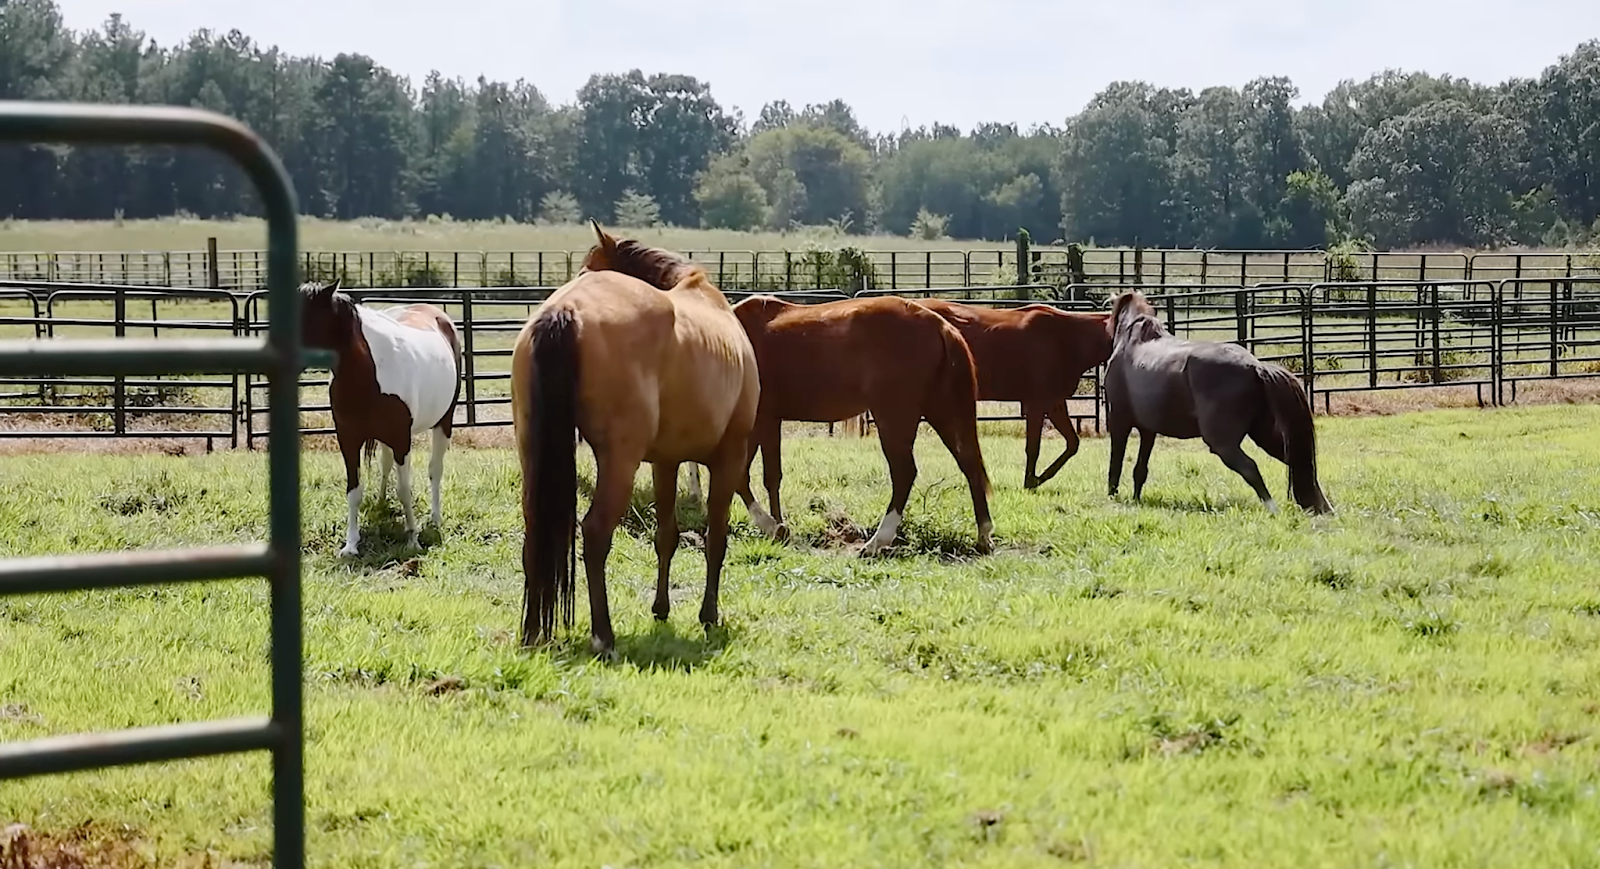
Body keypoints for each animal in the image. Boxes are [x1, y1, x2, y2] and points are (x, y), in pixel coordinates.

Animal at [298, 279, 464, 556]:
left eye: (307, 318)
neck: (369, 373)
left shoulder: (401, 440)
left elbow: (405, 489)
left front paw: (412, 539)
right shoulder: (348, 439)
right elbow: (354, 489)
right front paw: (351, 544)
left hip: (443, 422)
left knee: (435, 470)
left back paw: (435, 518)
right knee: (386, 466)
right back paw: (381, 504)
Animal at [512, 221, 763, 656]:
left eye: (587, 266)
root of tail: (566, 311)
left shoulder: (666, 461)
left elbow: (667, 535)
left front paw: (661, 608)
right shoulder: (729, 456)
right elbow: (716, 537)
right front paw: (709, 615)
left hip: (534, 455)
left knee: (535, 531)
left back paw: (532, 632)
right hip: (619, 461)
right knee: (595, 532)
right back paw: (603, 636)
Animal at [916, 298, 1112, 489]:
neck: (1067, 336)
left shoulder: (1054, 402)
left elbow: (1072, 443)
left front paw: (1038, 478)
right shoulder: (1037, 403)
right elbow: (1033, 448)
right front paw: (1030, 482)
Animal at [1103, 290, 1333, 514]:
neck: (1133, 342)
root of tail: (1256, 366)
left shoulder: (1119, 421)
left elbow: (1116, 463)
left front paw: (1113, 497)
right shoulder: (1148, 430)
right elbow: (1140, 469)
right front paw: (1135, 499)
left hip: (1223, 443)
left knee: (1250, 467)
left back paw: (1273, 508)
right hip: (1263, 433)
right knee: (1297, 461)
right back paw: (1324, 508)